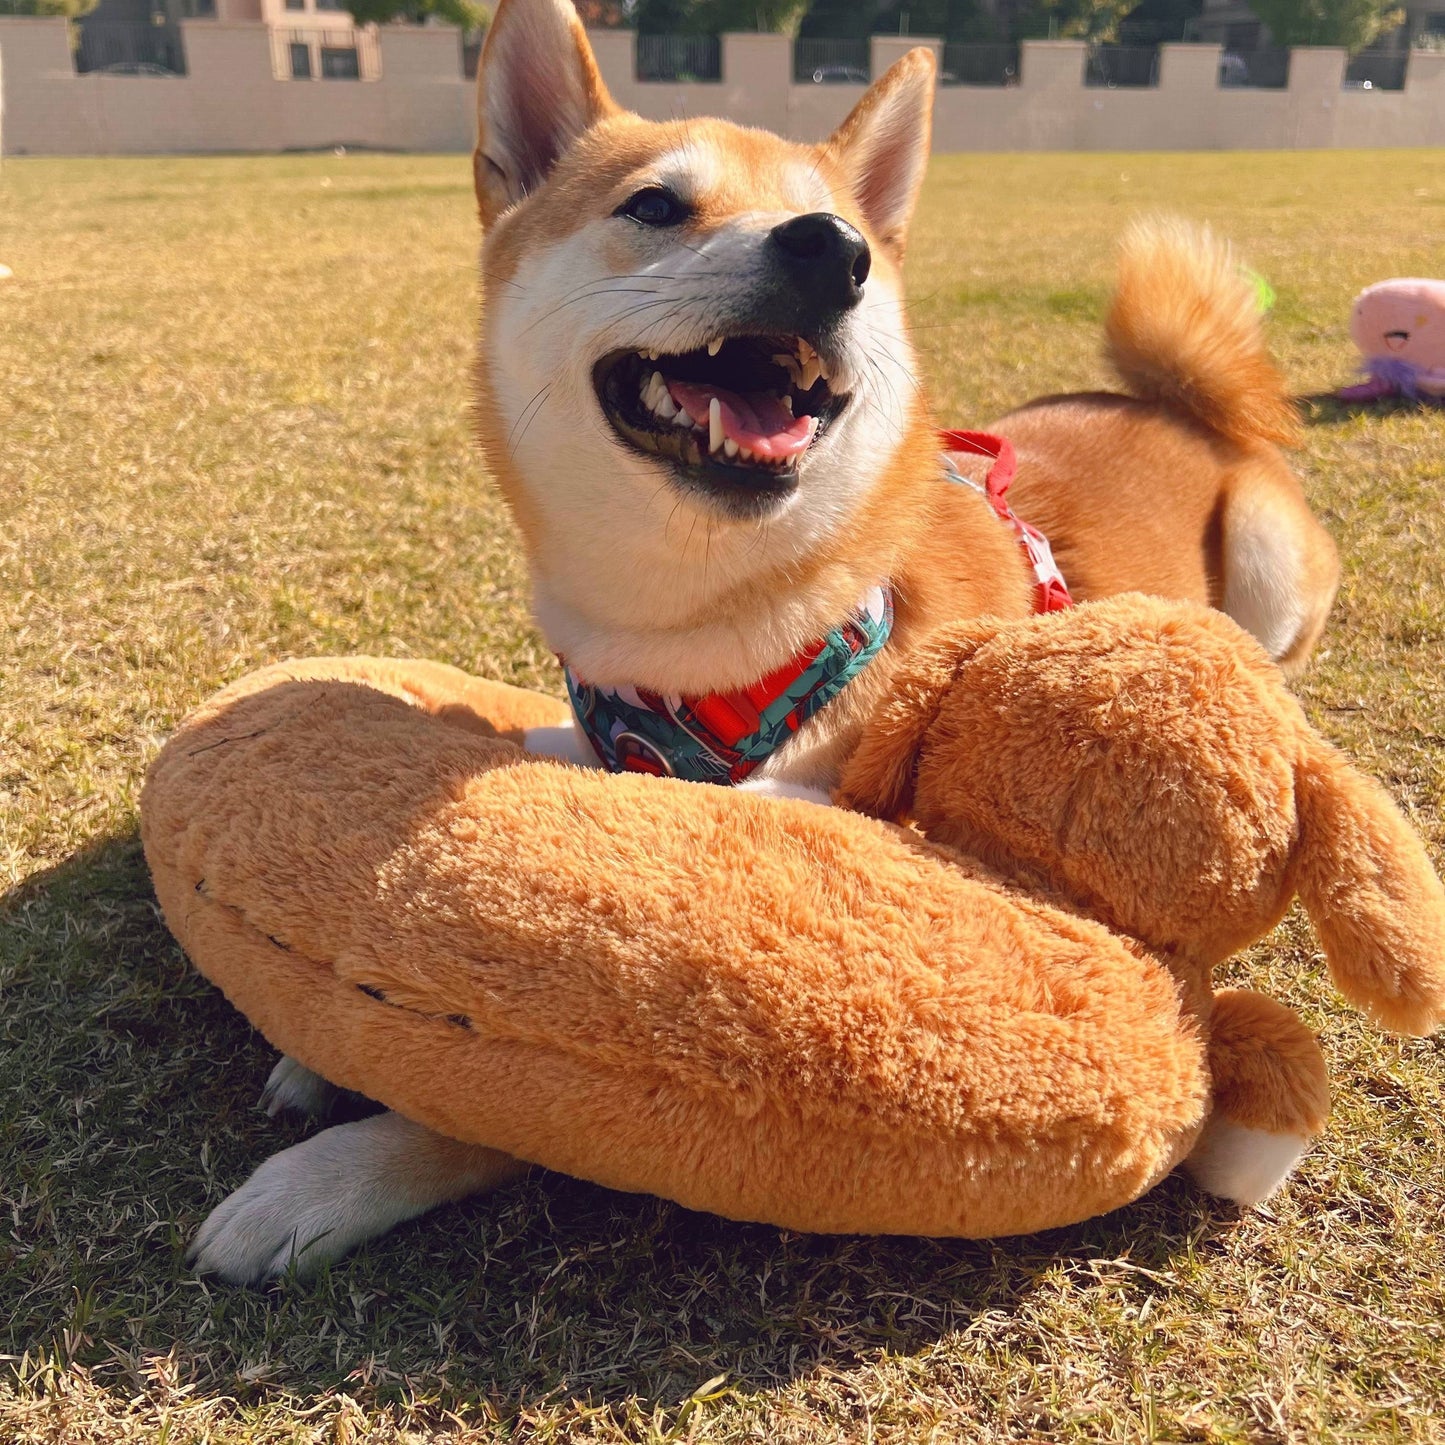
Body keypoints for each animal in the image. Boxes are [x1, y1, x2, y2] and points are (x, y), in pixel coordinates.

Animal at [186, 0, 1335, 1277]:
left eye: (859, 240)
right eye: (653, 206)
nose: (831, 249)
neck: (714, 634)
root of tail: (1178, 405)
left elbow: (514, 1097)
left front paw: (329, 1172)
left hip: (1270, 567)